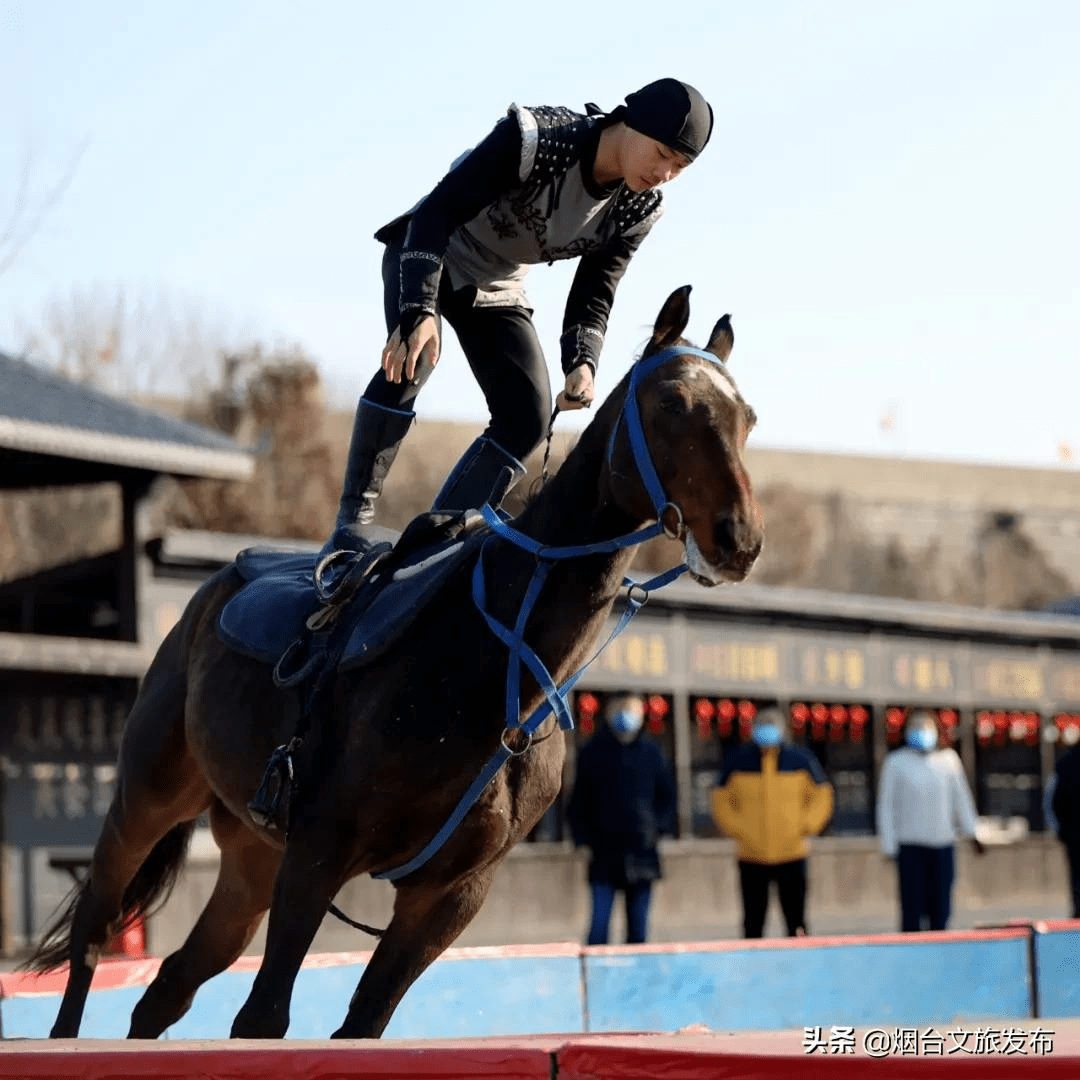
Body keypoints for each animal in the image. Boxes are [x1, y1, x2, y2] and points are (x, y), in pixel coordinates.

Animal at [29, 285, 764, 1036]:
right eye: (670, 404)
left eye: (748, 419)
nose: (737, 538)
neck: (503, 667)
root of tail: (214, 590)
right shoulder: (319, 851)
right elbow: (263, 1017)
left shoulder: (451, 893)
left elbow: (365, 1018)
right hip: (148, 796)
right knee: (94, 929)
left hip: (252, 860)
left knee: (170, 984)